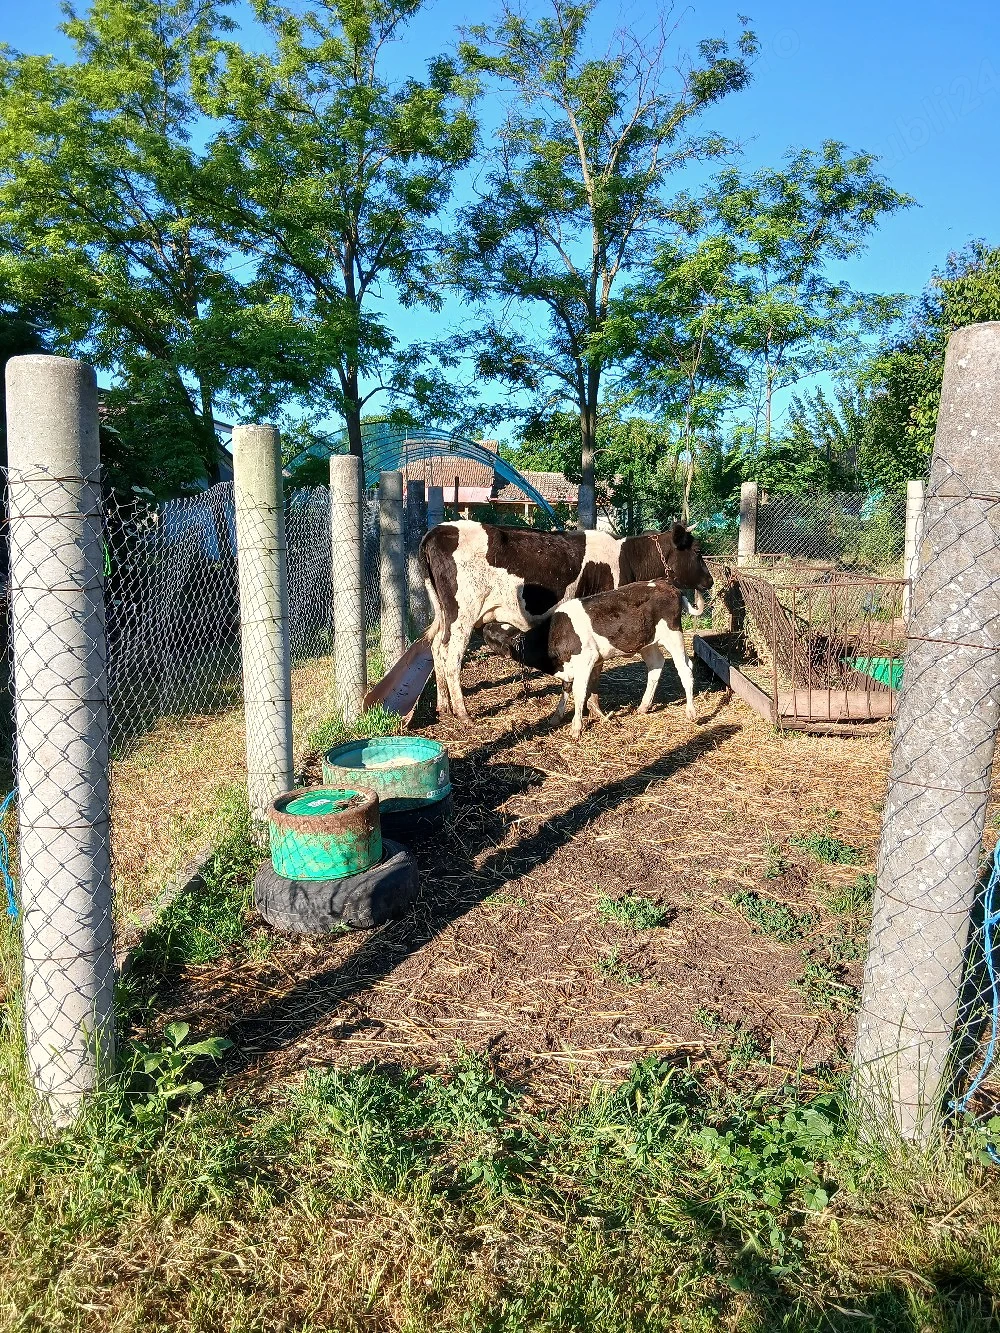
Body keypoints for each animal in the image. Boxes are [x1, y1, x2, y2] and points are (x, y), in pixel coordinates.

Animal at [418, 519, 712, 720]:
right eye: (698, 551)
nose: (709, 581)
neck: (626, 557)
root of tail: (437, 531)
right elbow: (594, 672)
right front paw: (595, 709)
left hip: (444, 615)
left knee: (436, 649)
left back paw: (443, 705)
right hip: (462, 614)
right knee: (451, 656)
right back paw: (462, 712)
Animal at [482, 577, 706, 739]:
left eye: (494, 634)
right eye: (496, 627)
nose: (485, 626)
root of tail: (667, 584)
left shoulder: (586, 659)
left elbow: (580, 692)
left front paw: (576, 727)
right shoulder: (569, 666)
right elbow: (566, 689)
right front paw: (556, 717)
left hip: (673, 635)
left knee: (685, 669)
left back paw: (691, 712)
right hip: (647, 641)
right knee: (656, 666)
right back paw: (643, 707)